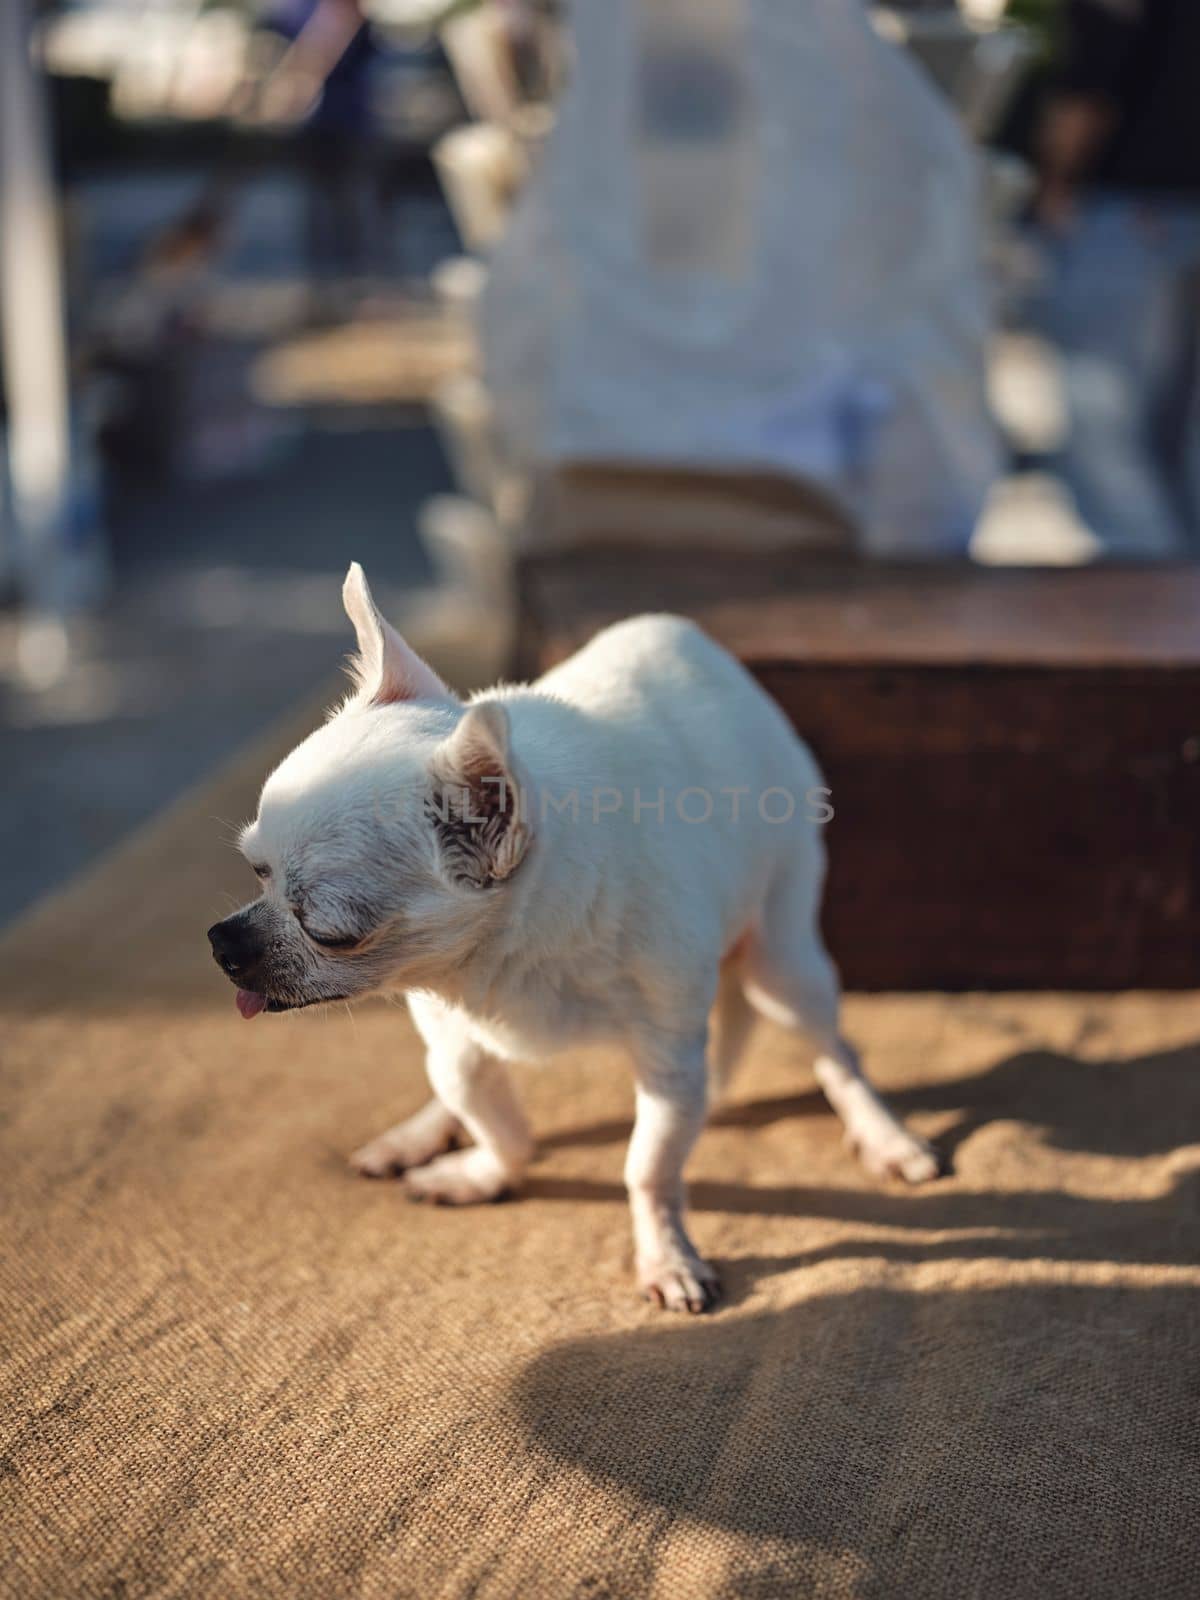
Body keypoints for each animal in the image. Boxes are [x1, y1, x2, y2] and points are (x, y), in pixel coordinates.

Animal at [211, 569, 947, 1305]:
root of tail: (705, 648)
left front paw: (666, 1256)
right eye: (256, 871)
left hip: (781, 962)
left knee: (835, 1050)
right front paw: (486, 1172)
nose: (222, 942)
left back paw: (884, 1135)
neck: (501, 958)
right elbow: (496, 1121)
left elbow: (647, 1168)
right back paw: (418, 1132)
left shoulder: (671, 1070)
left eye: (328, 932)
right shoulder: (456, 1042)